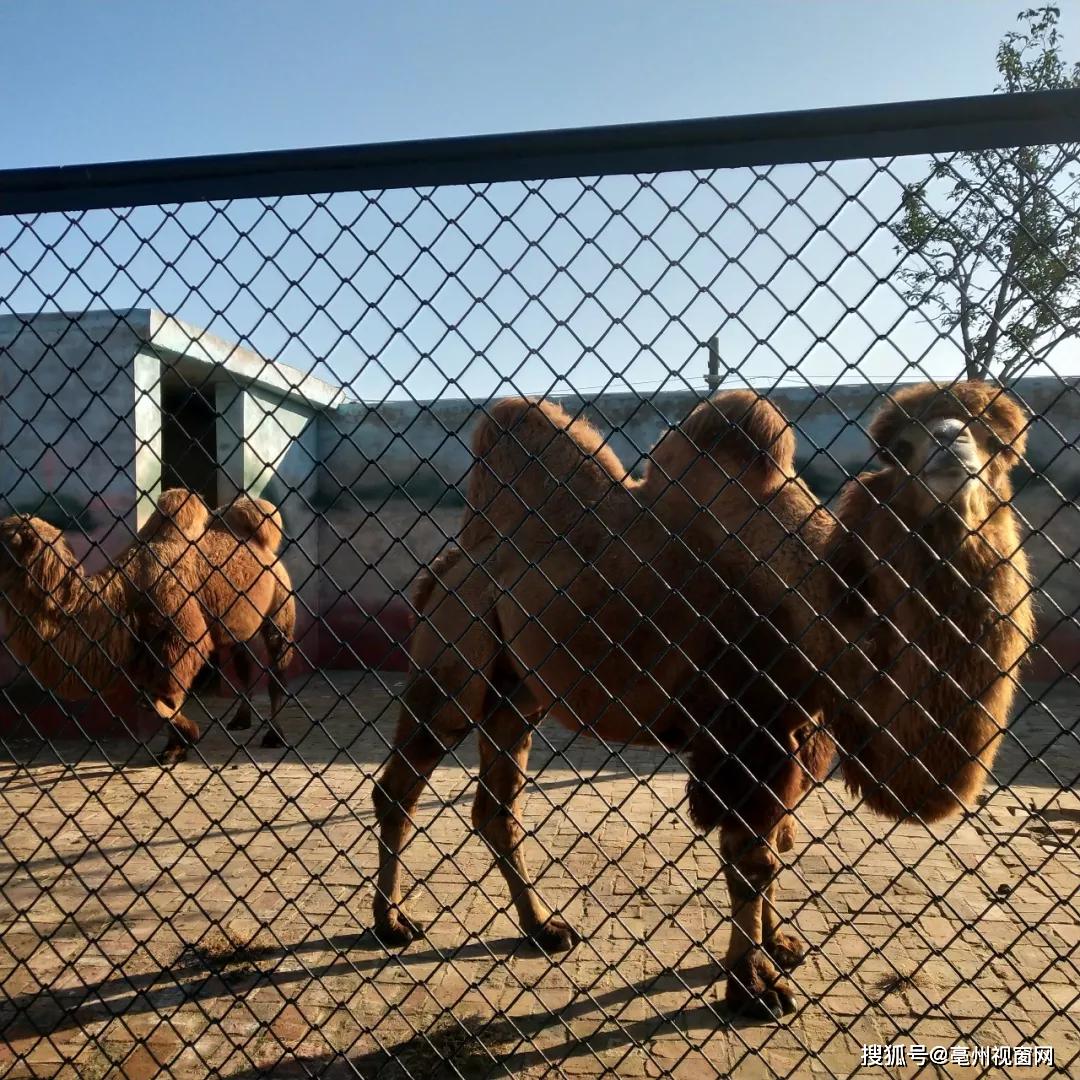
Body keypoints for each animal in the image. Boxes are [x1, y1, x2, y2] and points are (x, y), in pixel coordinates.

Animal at [1, 488, 295, 760]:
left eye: (5, 538)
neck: (122, 591)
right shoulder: (143, 645)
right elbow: (159, 695)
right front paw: (175, 747)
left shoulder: (179, 632)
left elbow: (164, 694)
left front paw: (183, 741)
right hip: (236, 627)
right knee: (243, 664)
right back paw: (240, 721)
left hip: (281, 605)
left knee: (277, 669)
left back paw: (275, 735)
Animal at [375, 382, 1032, 1019]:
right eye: (899, 448)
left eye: (998, 444)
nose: (950, 445)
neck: (820, 607)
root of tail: (448, 564)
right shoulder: (746, 732)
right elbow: (752, 859)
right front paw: (753, 987)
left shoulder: (796, 735)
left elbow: (779, 843)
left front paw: (779, 944)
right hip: (454, 658)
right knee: (402, 785)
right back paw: (392, 922)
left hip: (518, 693)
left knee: (497, 807)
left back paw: (542, 928)